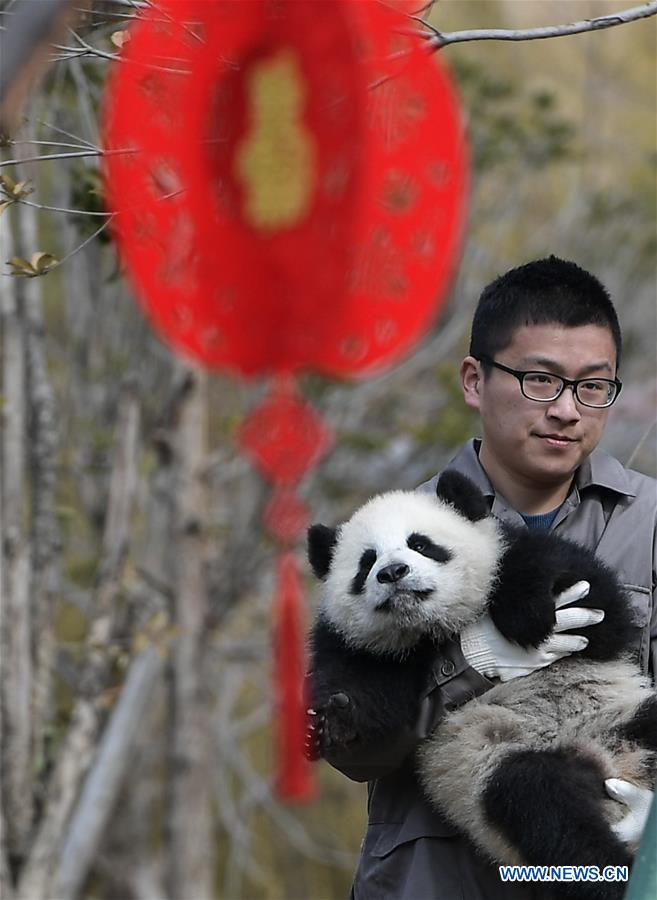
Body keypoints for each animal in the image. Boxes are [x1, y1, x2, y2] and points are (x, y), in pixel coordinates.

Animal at [307, 471, 656, 900]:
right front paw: (337, 717)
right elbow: (367, 712)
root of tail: (613, 762)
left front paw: (529, 613)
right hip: (494, 766)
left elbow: (595, 605)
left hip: (621, 715)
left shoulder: (517, 552)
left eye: (420, 544)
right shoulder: (352, 644)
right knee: (541, 805)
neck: (434, 629)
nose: (393, 573)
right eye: (367, 562)